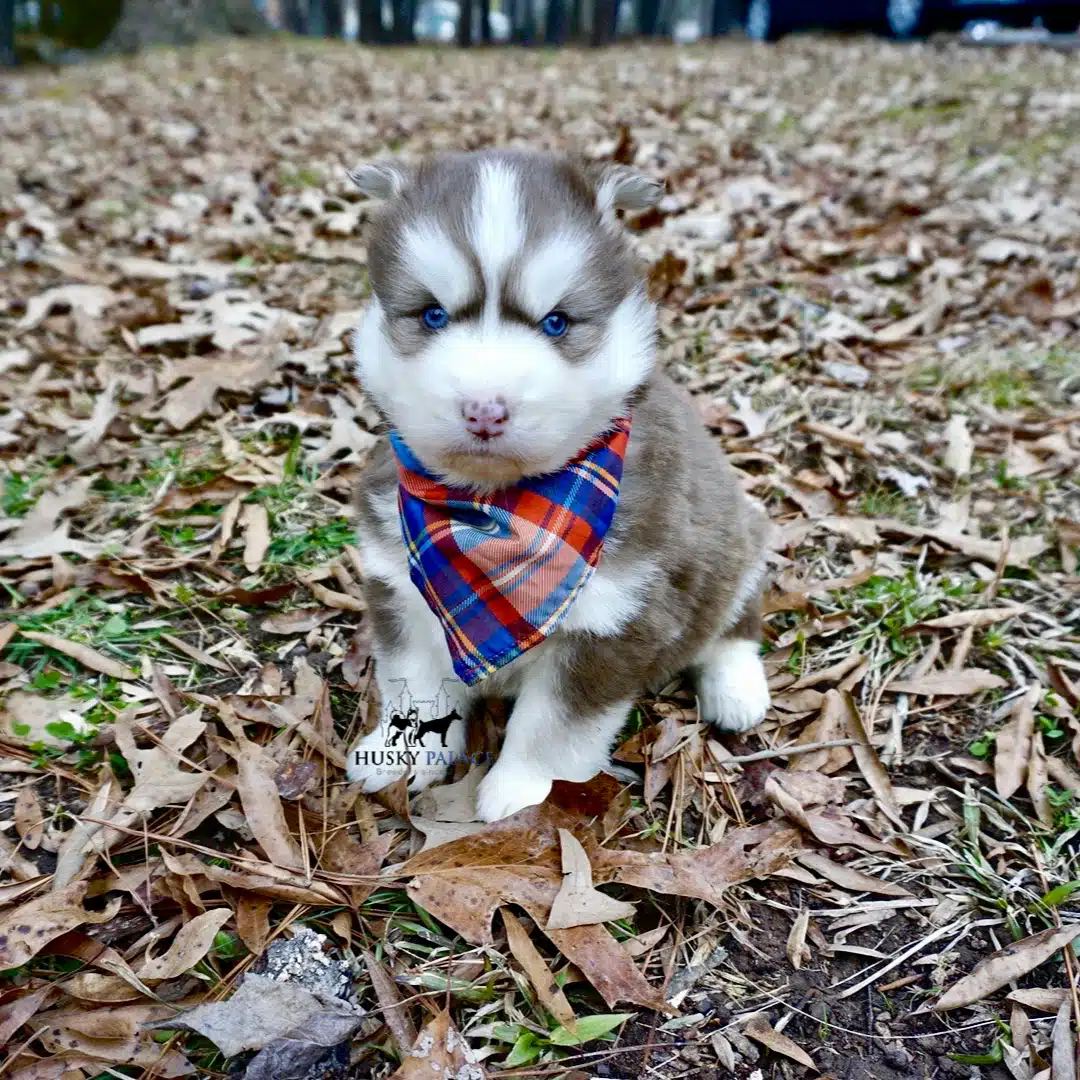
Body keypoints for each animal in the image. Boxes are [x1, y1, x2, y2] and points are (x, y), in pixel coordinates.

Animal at [345, 145, 768, 816]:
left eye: (557, 323)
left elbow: (552, 726)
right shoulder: (399, 588)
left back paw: (736, 690)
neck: (493, 512)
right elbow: (412, 681)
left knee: (735, 621)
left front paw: (521, 793)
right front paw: (402, 751)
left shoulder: (617, 619)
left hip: (735, 538)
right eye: (432, 315)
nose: (484, 409)